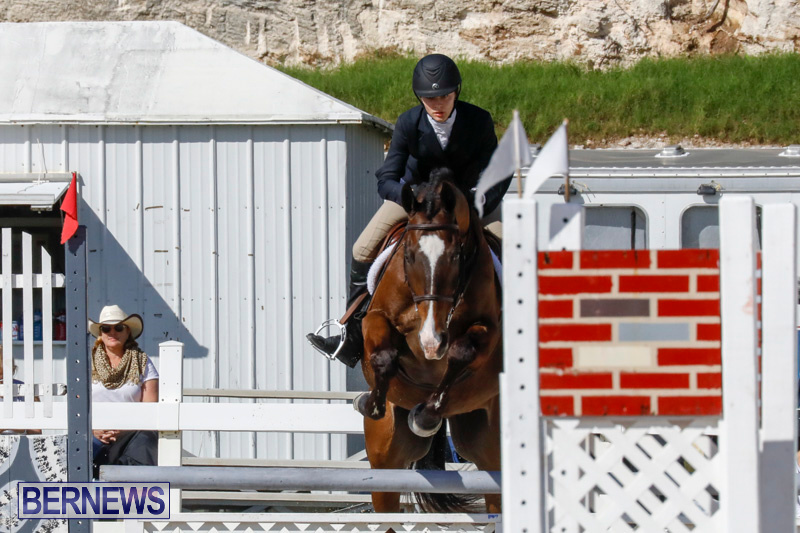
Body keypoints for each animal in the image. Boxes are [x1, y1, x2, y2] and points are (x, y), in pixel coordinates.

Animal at [354, 168, 503, 513]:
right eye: (408, 255)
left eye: (456, 256)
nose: (431, 342)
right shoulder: (375, 318)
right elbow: (382, 355)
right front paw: (371, 403)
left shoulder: (489, 330)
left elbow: (462, 351)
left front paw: (426, 415)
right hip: (385, 461)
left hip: (492, 449)